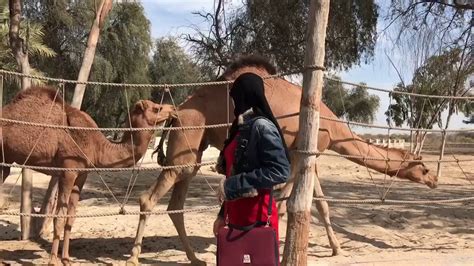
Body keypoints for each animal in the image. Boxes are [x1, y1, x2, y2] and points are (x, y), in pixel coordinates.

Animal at [0, 87, 175, 264]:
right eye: (157, 108)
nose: (173, 110)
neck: (96, 146)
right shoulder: (68, 171)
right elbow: (59, 217)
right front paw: (53, 260)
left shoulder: (82, 175)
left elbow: (71, 217)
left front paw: (66, 259)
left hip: (5, 162)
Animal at [128, 55, 438, 264]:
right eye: (423, 167)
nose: (435, 179)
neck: (334, 129)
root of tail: (178, 110)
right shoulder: (302, 150)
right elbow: (289, 200)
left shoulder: (312, 155)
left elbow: (322, 204)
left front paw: (337, 248)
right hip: (189, 134)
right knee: (149, 198)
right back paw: (134, 257)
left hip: (192, 149)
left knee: (176, 202)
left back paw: (195, 259)